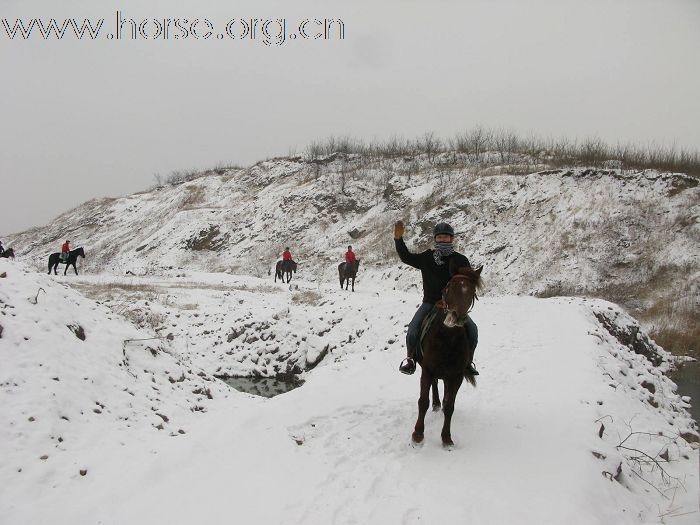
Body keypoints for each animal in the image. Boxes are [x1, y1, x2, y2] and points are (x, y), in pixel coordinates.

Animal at [410, 262, 482, 446]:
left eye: (472, 292)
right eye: (448, 287)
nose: (456, 318)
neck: (447, 339)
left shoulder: (456, 376)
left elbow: (450, 406)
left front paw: (446, 438)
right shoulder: (427, 370)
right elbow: (423, 401)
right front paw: (418, 434)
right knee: (435, 385)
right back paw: (436, 404)